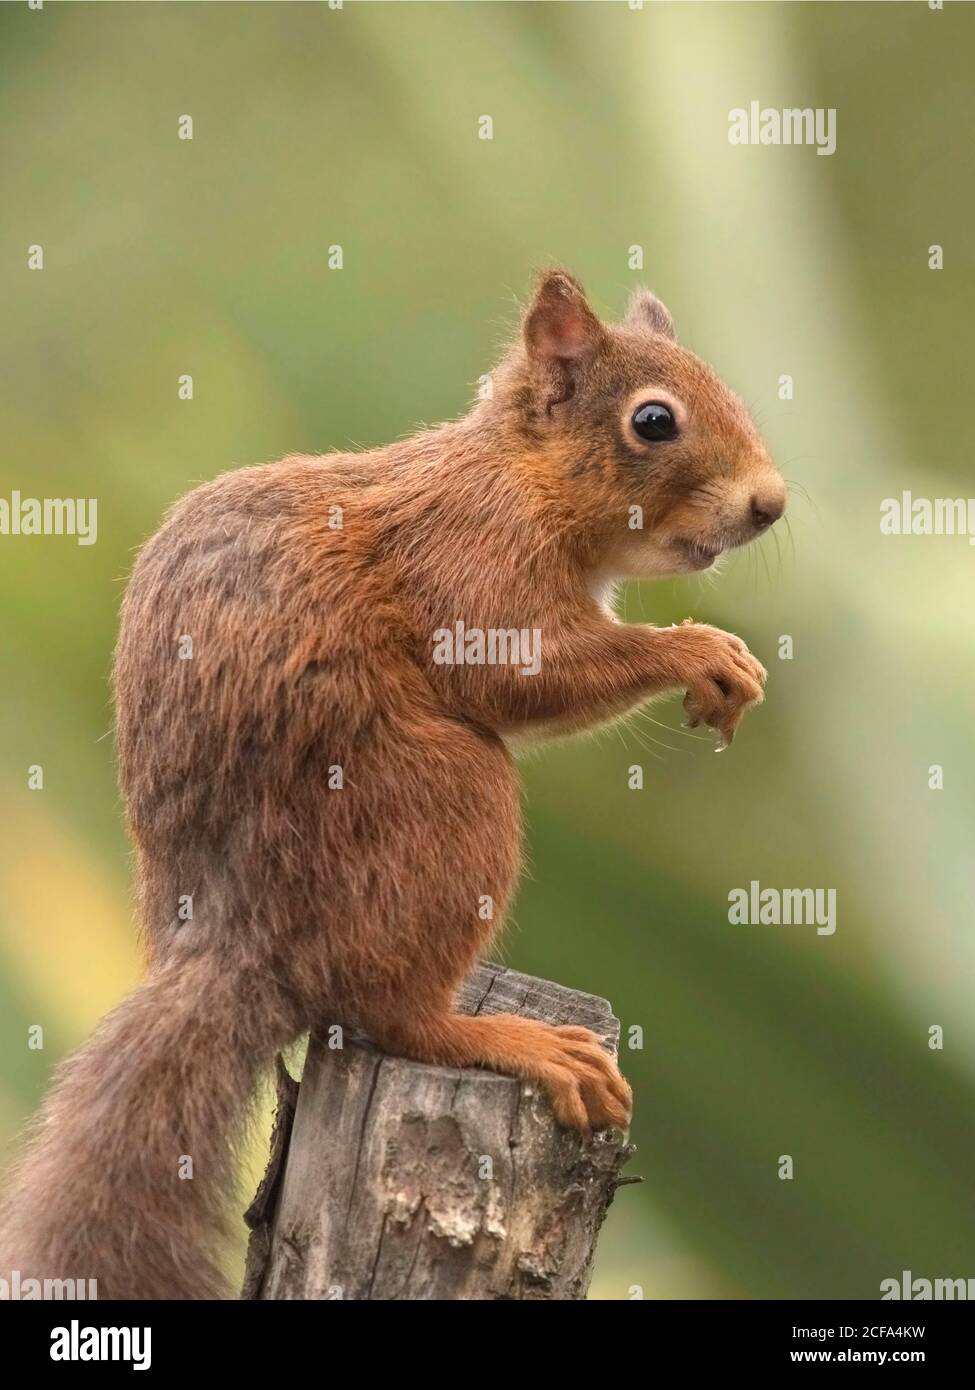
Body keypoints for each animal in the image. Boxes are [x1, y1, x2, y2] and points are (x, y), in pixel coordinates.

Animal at [0, 273, 778, 1301]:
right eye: (654, 421)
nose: (770, 503)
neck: (520, 478)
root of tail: (240, 942)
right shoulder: (474, 561)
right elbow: (519, 676)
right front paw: (698, 652)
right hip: (442, 798)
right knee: (384, 1014)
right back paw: (511, 1042)